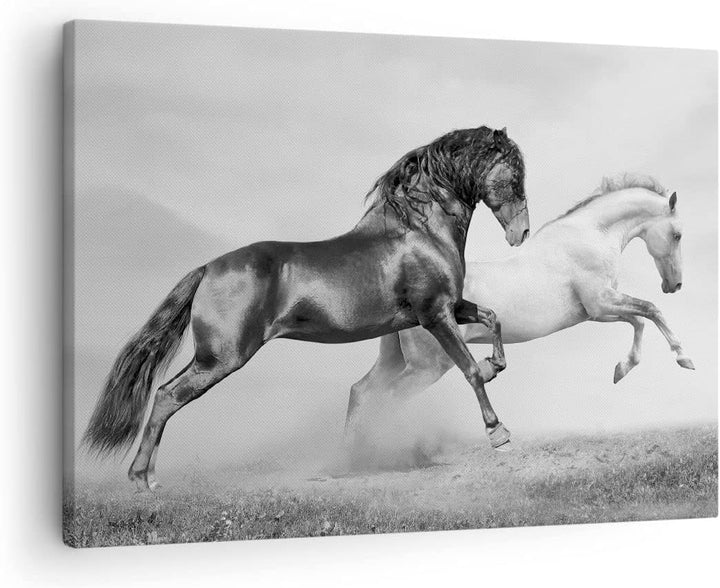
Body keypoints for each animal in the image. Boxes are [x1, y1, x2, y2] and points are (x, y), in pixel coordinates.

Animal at [83, 125, 531, 491]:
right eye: (515, 174)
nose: (521, 232)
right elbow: (470, 371)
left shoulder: (452, 307)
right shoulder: (435, 314)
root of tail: (208, 268)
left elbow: (493, 319)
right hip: (221, 358)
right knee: (166, 396)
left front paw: (496, 364)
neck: (420, 232)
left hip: (216, 358)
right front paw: (499, 434)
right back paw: (142, 479)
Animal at [346, 175, 694, 433]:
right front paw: (684, 359)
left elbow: (640, 320)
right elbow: (650, 311)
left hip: (396, 360)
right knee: (387, 399)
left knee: (361, 392)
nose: (674, 285)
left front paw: (621, 369)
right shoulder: (602, 303)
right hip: (427, 367)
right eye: (677, 234)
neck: (589, 236)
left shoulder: (598, 312)